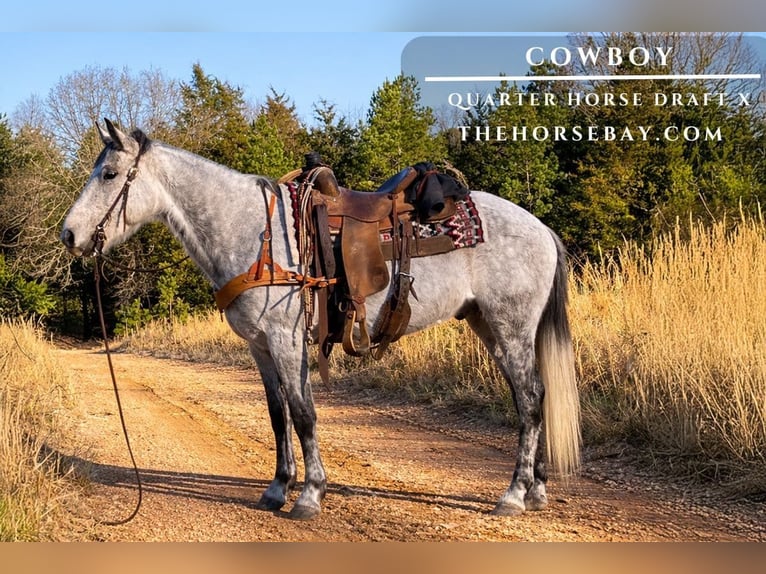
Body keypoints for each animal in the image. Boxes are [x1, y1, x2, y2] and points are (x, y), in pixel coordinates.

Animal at [61, 119, 580, 520]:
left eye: (109, 174)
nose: (69, 235)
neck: (254, 233)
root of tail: (540, 227)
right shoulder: (260, 345)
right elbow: (278, 414)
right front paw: (277, 488)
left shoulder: (286, 340)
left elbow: (304, 413)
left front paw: (310, 494)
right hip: (490, 326)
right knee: (532, 396)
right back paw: (535, 490)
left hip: (511, 327)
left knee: (529, 400)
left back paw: (514, 495)